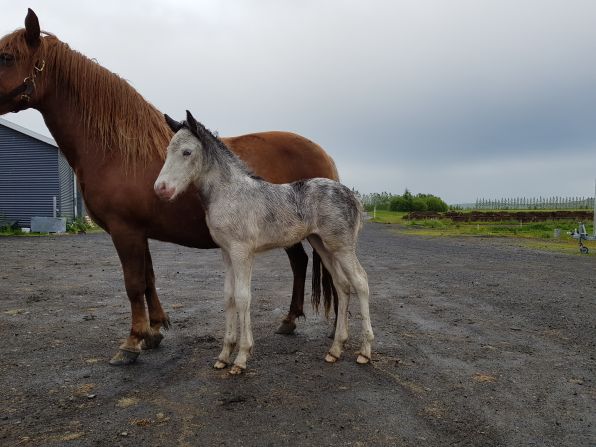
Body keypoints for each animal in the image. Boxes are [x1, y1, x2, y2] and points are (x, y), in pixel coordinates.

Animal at [0, 10, 338, 366]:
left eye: (6, 57)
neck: (118, 150)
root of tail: (323, 153)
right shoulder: (138, 231)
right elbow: (148, 280)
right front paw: (154, 331)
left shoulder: (125, 230)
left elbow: (134, 283)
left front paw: (132, 342)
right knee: (300, 263)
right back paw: (289, 321)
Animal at [154, 111, 372, 374]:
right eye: (168, 151)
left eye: (187, 152)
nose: (161, 189)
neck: (230, 193)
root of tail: (352, 196)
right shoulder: (226, 252)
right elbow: (228, 296)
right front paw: (224, 355)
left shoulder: (242, 252)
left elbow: (242, 297)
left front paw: (241, 358)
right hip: (322, 244)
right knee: (342, 285)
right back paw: (335, 350)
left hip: (342, 246)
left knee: (360, 281)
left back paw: (365, 351)